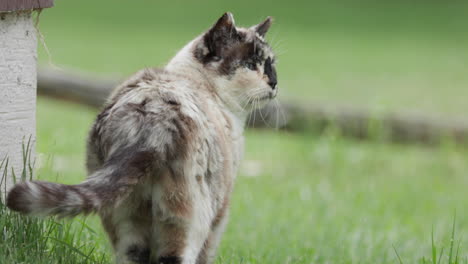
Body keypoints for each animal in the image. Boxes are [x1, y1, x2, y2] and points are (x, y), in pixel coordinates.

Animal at [6, 12, 278, 264]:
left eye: (271, 64)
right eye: (251, 65)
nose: (274, 83)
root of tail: (152, 121)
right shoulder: (219, 216)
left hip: (125, 221)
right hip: (188, 221)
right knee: (175, 257)